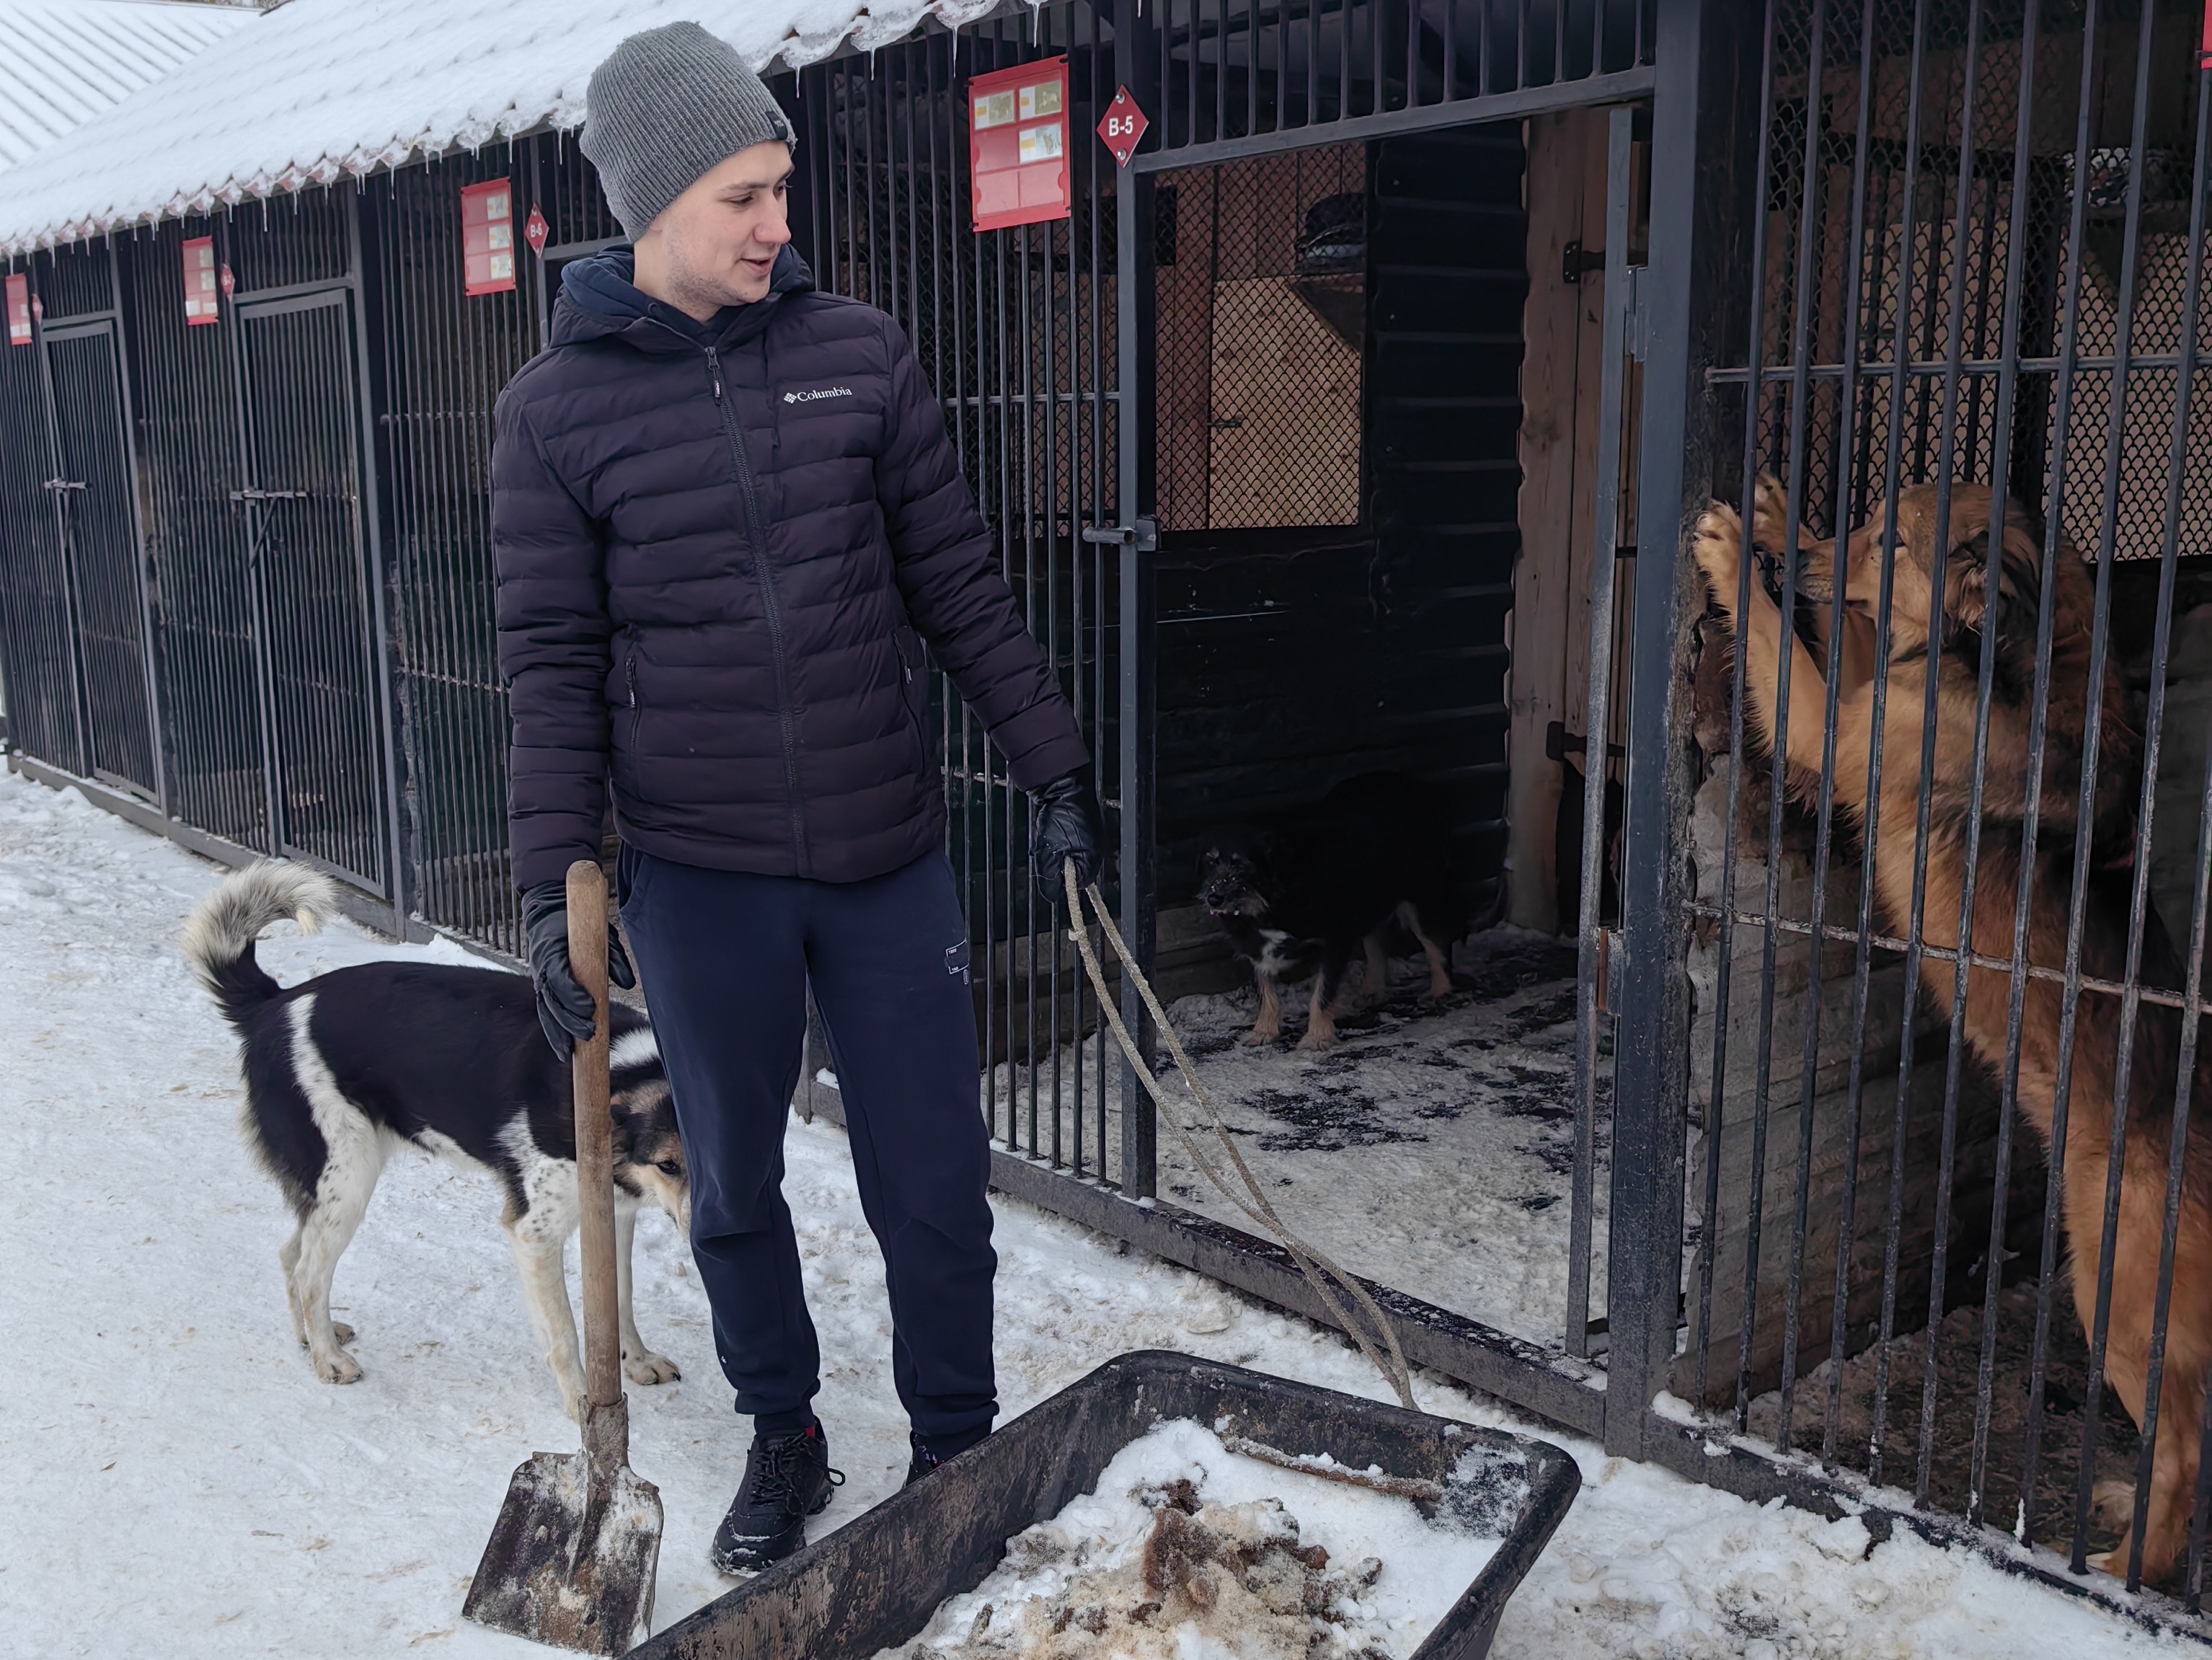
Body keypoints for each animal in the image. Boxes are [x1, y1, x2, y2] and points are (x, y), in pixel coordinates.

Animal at [182, 863, 690, 1425]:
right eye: (668, 1165)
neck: (617, 1073)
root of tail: (273, 1003)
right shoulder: (532, 1233)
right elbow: (563, 1334)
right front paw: (583, 1405)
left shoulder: (613, 1216)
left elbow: (619, 1302)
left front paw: (637, 1360)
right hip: (348, 1179)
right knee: (310, 1270)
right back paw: (329, 1359)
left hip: (331, 1185)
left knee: (291, 1253)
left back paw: (313, 1338)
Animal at [1203, 779, 1459, 1054]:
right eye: (1210, 862)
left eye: (1242, 865)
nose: (1213, 898)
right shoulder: (1254, 946)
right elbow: (1264, 991)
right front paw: (1263, 1032)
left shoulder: (1334, 942)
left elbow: (1322, 994)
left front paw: (1317, 1038)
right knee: (1376, 944)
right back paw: (1373, 990)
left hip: (1419, 898)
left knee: (1435, 944)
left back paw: (1440, 991)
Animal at [1699, 471, 2203, 1584]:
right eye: (1861, 521)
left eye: (1892, 539)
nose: (1795, 559)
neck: (2010, 650)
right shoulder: (1865, 694)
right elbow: (1841, 639)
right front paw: (1774, 522)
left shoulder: (1839, 728)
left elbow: (1785, 649)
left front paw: (1733, 556)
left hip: (2114, 1294)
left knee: (2186, 1453)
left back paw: (2122, 1566)